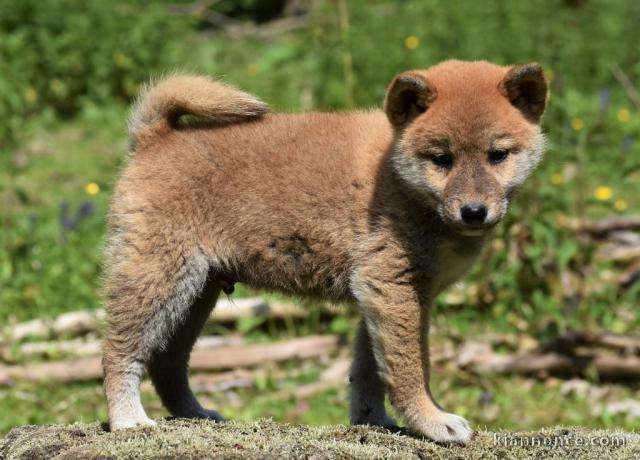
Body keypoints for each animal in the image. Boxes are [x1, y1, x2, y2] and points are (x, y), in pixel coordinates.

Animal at [102, 59, 548, 444]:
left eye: (498, 155)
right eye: (442, 158)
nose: (474, 211)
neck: (400, 182)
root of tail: (154, 138)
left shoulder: (381, 292)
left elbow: (370, 370)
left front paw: (373, 420)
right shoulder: (393, 285)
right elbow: (409, 368)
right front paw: (432, 421)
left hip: (197, 292)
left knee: (167, 362)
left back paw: (195, 415)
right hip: (158, 276)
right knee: (117, 351)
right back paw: (128, 418)